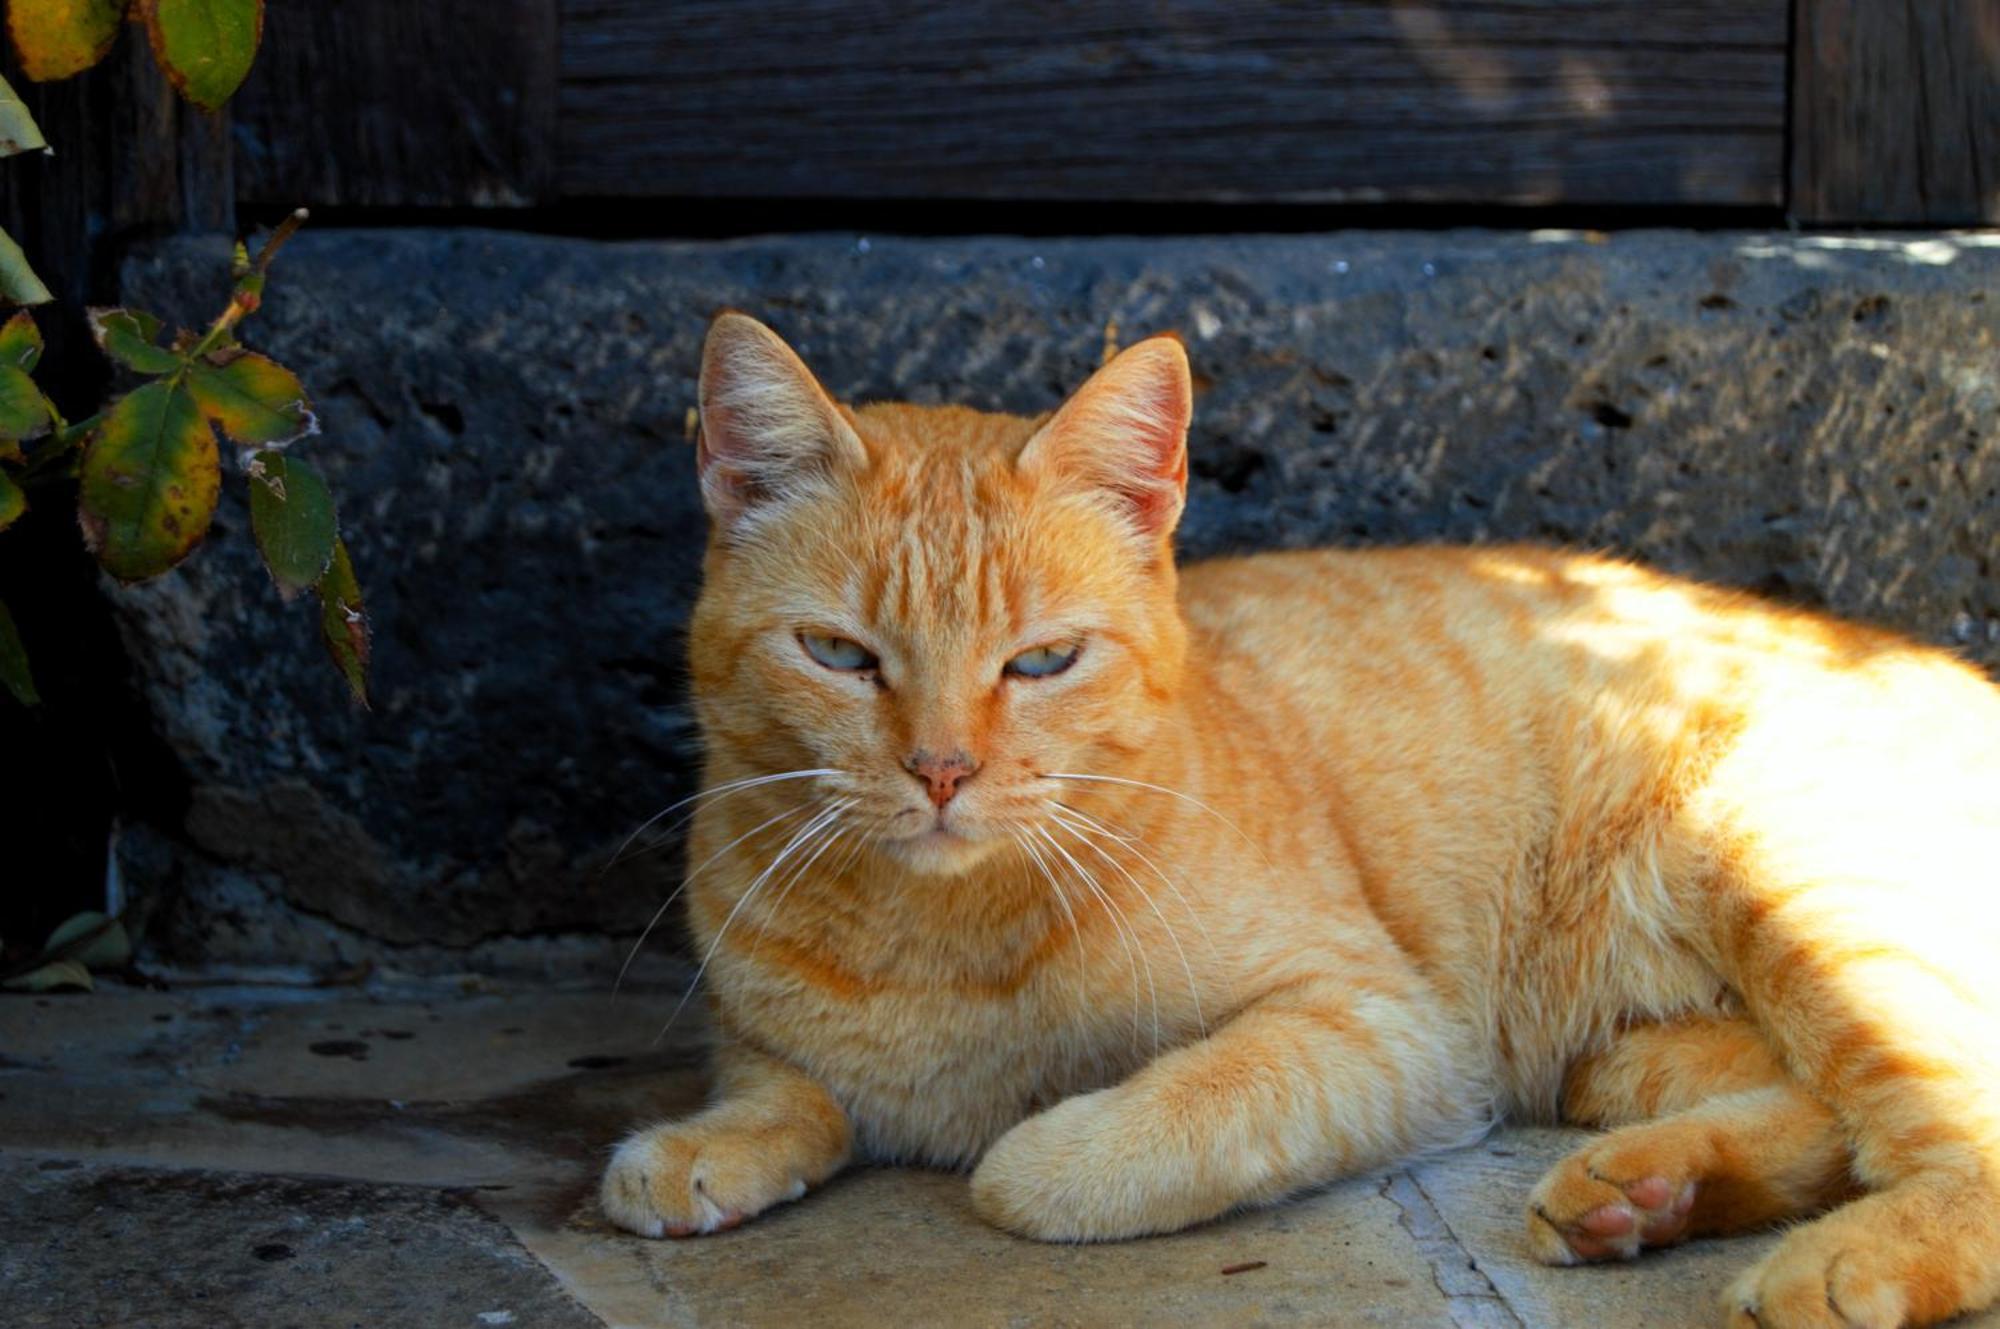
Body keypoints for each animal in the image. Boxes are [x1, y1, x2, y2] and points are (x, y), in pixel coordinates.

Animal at [600, 314, 2000, 1329]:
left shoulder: (1381, 1027)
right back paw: (1646, 1194)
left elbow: (1132, 1127)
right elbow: (787, 1088)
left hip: (1807, 908)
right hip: (1618, 1052)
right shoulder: (765, 1029)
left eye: (1042, 661)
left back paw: (1839, 1264)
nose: (941, 768)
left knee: (1943, 1132)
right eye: (838, 655)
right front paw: (702, 1147)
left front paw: (1036, 1146)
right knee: (1816, 1113)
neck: (932, 935)